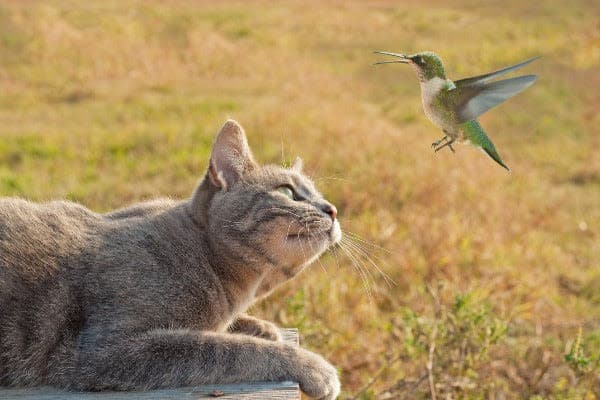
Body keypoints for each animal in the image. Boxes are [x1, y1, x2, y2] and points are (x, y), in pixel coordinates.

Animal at [0, 120, 340, 400]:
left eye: (319, 193)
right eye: (287, 191)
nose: (332, 209)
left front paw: (259, 326)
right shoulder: (106, 351)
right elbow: (226, 348)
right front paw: (311, 366)